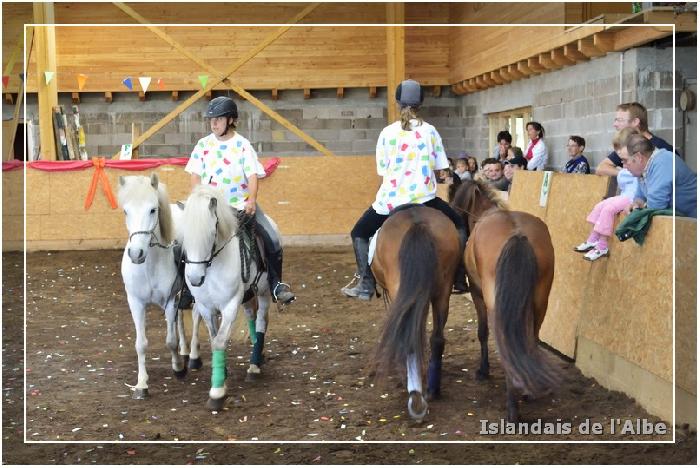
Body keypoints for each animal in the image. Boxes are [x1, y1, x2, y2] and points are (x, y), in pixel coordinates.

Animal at [117, 174, 194, 400]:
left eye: (153, 210)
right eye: (125, 211)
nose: (136, 254)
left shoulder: (169, 301)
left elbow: (170, 340)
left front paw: (178, 368)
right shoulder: (135, 303)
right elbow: (141, 344)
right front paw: (142, 384)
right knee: (180, 321)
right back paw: (185, 350)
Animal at [182, 185, 272, 412]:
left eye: (211, 233)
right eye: (184, 236)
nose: (194, 278)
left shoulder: (230, 305)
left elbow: (220, 341)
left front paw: (217, 393)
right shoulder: (206, 307)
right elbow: (214, 338)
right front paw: (222, 376)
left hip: (264, 291)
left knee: (261, 320)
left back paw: (254, 365)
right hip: (248, 295)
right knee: (251, 316)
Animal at [370, 204, 462, 420]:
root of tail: (417, 222)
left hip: (400, 287)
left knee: (407, 337)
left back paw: (415, 396)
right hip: (442, 290)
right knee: (437, 338)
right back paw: (432, 390)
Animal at [452, 181, 560, 422]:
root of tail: (518, 235)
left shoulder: (477, 294)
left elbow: (482, 332)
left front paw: (483, 371)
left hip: (497, 306)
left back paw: (513, 406)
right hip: (540, 304)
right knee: (530, 341)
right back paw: (528, 390)